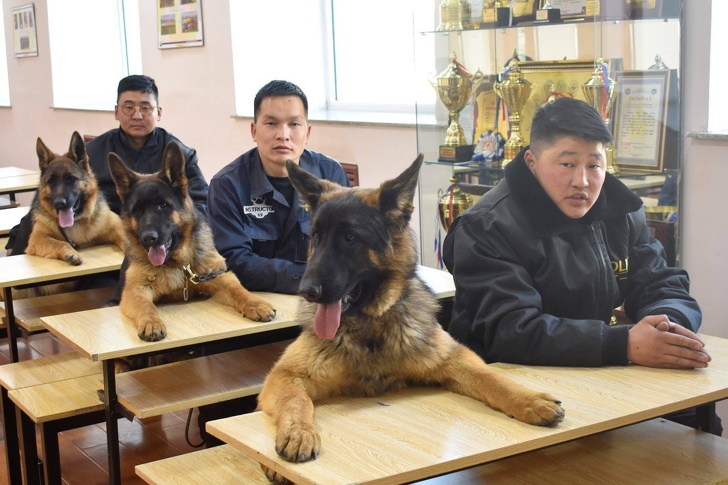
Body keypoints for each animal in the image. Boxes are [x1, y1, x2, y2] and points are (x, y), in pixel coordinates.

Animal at [24, 131, 124, 264]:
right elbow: (61, 243)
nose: (59, 204)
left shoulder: (117, 226)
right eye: (51, 181)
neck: (77, 221)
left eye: (70, 179)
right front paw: (72, 253)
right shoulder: (38, 238)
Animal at [107, 142, 276, 342]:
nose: (148, 238)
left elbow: (239, 291)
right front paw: (151, 323)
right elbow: (146, 306)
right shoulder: (135, 291)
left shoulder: (220, 276)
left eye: (163, 205)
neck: (178, 263)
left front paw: (257, 304)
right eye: (138, 210)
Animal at [258, 156, 564, 480]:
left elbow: (490, 377)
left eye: (350, 238)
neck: (371, 327)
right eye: (316, 237)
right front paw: (298, 433)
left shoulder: (454, 358)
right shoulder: (285, 375)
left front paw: (528, 400)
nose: (306, 291)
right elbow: (296, 399)